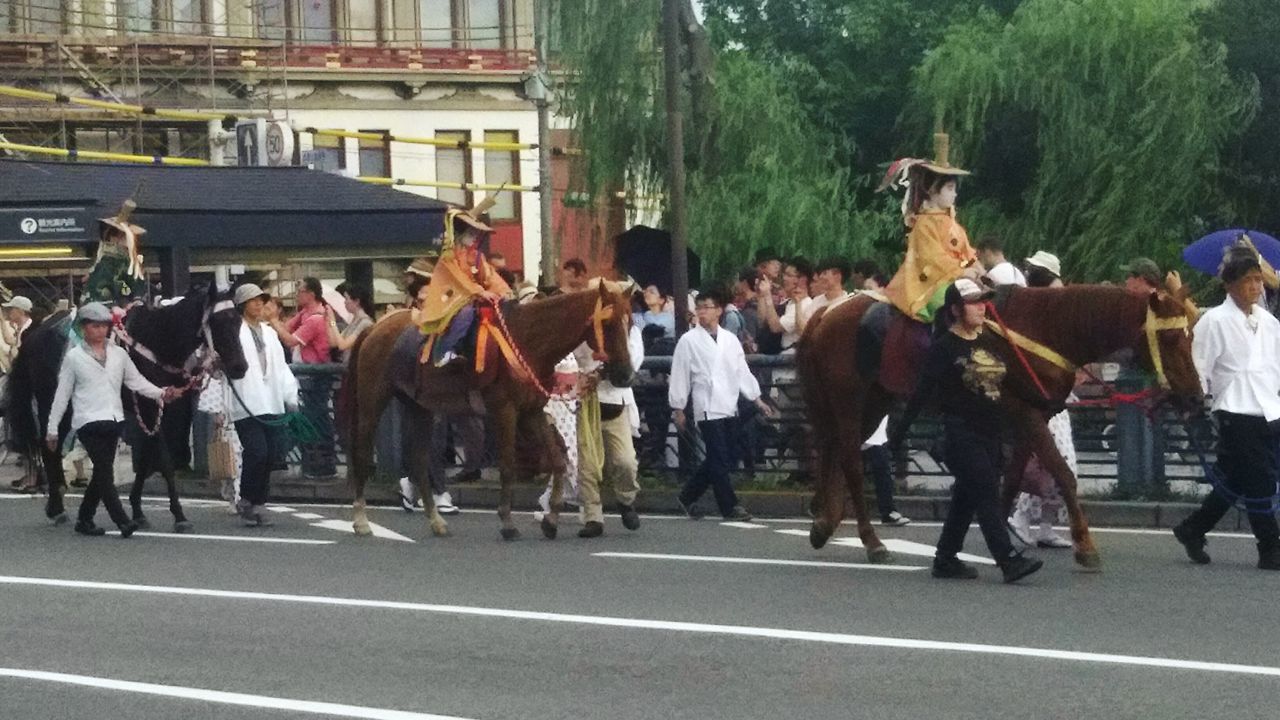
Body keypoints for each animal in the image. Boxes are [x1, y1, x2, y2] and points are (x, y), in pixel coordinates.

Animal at [7, 284, 247, 527]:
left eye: (238, 320)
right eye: (217, 322)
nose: (240, 367)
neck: (159, 338)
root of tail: (34, 335)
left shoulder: (160, 405)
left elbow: (146, 459)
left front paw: (138, 510)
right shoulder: (149, 405)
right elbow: (164, 460)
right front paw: (178, 514)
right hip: (52, 399)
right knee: (49, 445)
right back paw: (56, 506)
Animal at [343, 280, 637, 538]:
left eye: (630, 323)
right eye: (608, 324)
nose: (625, 374)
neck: (529, 340)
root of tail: (376, 326)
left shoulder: (531, 411)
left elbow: (557, 460)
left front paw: (551, 520)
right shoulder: (505, 410)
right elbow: (507, 465)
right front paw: (507, 522)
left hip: (419, 406)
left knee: (419, 460)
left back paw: (436, 521)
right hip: (372, 401)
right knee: (362, 454)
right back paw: (361, 519)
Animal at [798, 283, 1198, 568]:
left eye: (1191, 336)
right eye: (1171, 338)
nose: (1195, 396)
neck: (1048, 327)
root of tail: (828, 311)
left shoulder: (1030, 416)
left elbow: (1012, 479)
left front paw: (998, 537)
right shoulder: (1026, 413)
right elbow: (1062, 474)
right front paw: (1084, 544)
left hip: (875, 399)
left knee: (835, 449)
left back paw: (825, 523)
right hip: (849, 398)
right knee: (850, 459)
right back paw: (872, 541)